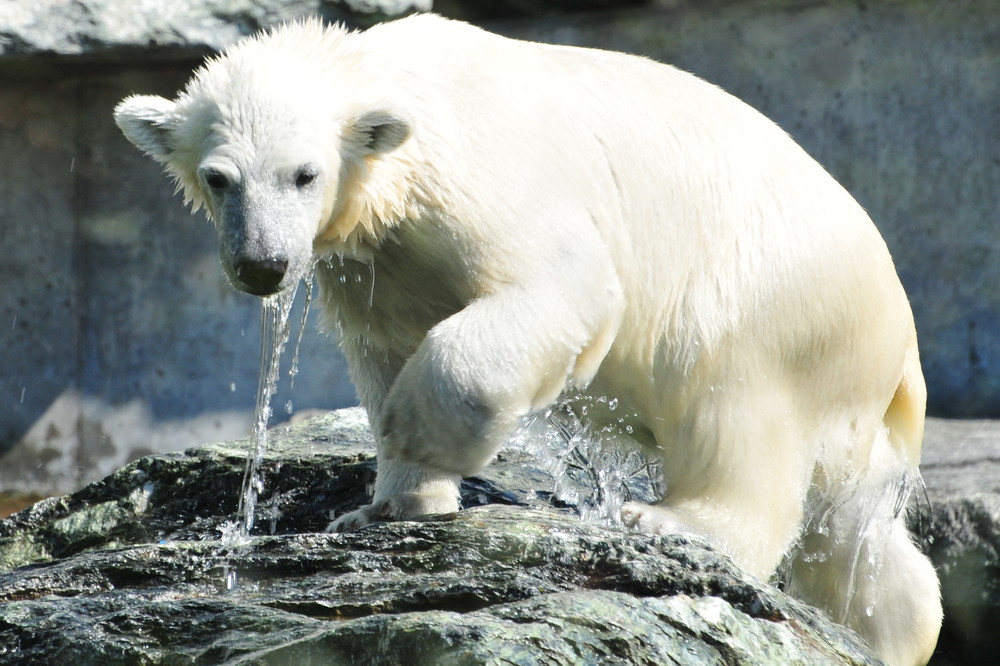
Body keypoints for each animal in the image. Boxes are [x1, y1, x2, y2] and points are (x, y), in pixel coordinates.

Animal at [115, 13, 936, 660]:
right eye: (219, 177)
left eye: (304, 173)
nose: (263, 264)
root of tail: (899, 340)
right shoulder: (381, 259)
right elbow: (386, 348)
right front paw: (389, 505)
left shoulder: (483, 177)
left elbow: (563, 285)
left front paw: (419, 436)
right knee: (861, 540)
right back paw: (893, 625)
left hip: (770, 300)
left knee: (736, 410)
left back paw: (669, 520)